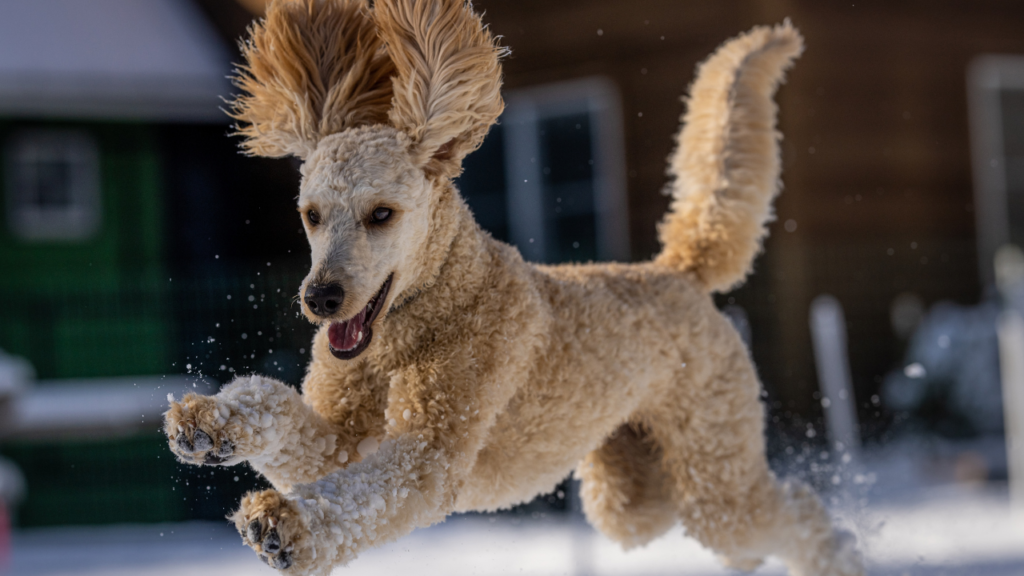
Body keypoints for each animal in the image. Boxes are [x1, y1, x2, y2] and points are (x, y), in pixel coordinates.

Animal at [161, 2, 864, 569]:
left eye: (381, 214)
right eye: (310, 214)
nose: (321, 298)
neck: (414, 324)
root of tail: (676, 269)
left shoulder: (428, 453)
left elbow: (360, 497)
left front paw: (288, 524)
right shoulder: (341, 438)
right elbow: (271, 402)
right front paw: (210, 424)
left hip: (713, 468)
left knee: (796, 514)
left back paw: (839, 557)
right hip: (633, 494)